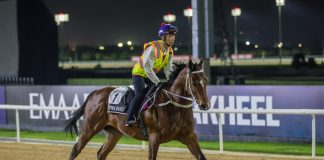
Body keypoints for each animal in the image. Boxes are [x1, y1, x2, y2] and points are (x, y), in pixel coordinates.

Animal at [64, 59, 211, 160]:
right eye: (193, 81)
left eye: (205, 79)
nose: (206, 105)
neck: (173, 106)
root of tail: (95, 93)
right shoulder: (154, 137)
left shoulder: (189, 136)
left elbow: (201, 156)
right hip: (90, 127)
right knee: (75, 149)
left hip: (114, 133)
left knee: (101, 154)